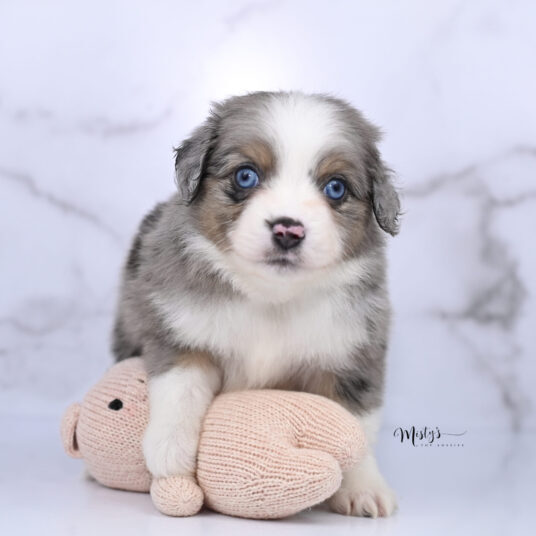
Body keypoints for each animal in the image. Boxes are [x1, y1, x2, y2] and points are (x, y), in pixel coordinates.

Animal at [111, 90, 400, 516]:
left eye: (336, 188)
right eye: (246, 176)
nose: (287, 231)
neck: (271, 298)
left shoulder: (351, 357)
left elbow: (354, 425)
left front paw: (363, 486)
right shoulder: (178, 330)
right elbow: (180, 388)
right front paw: (169, 450)